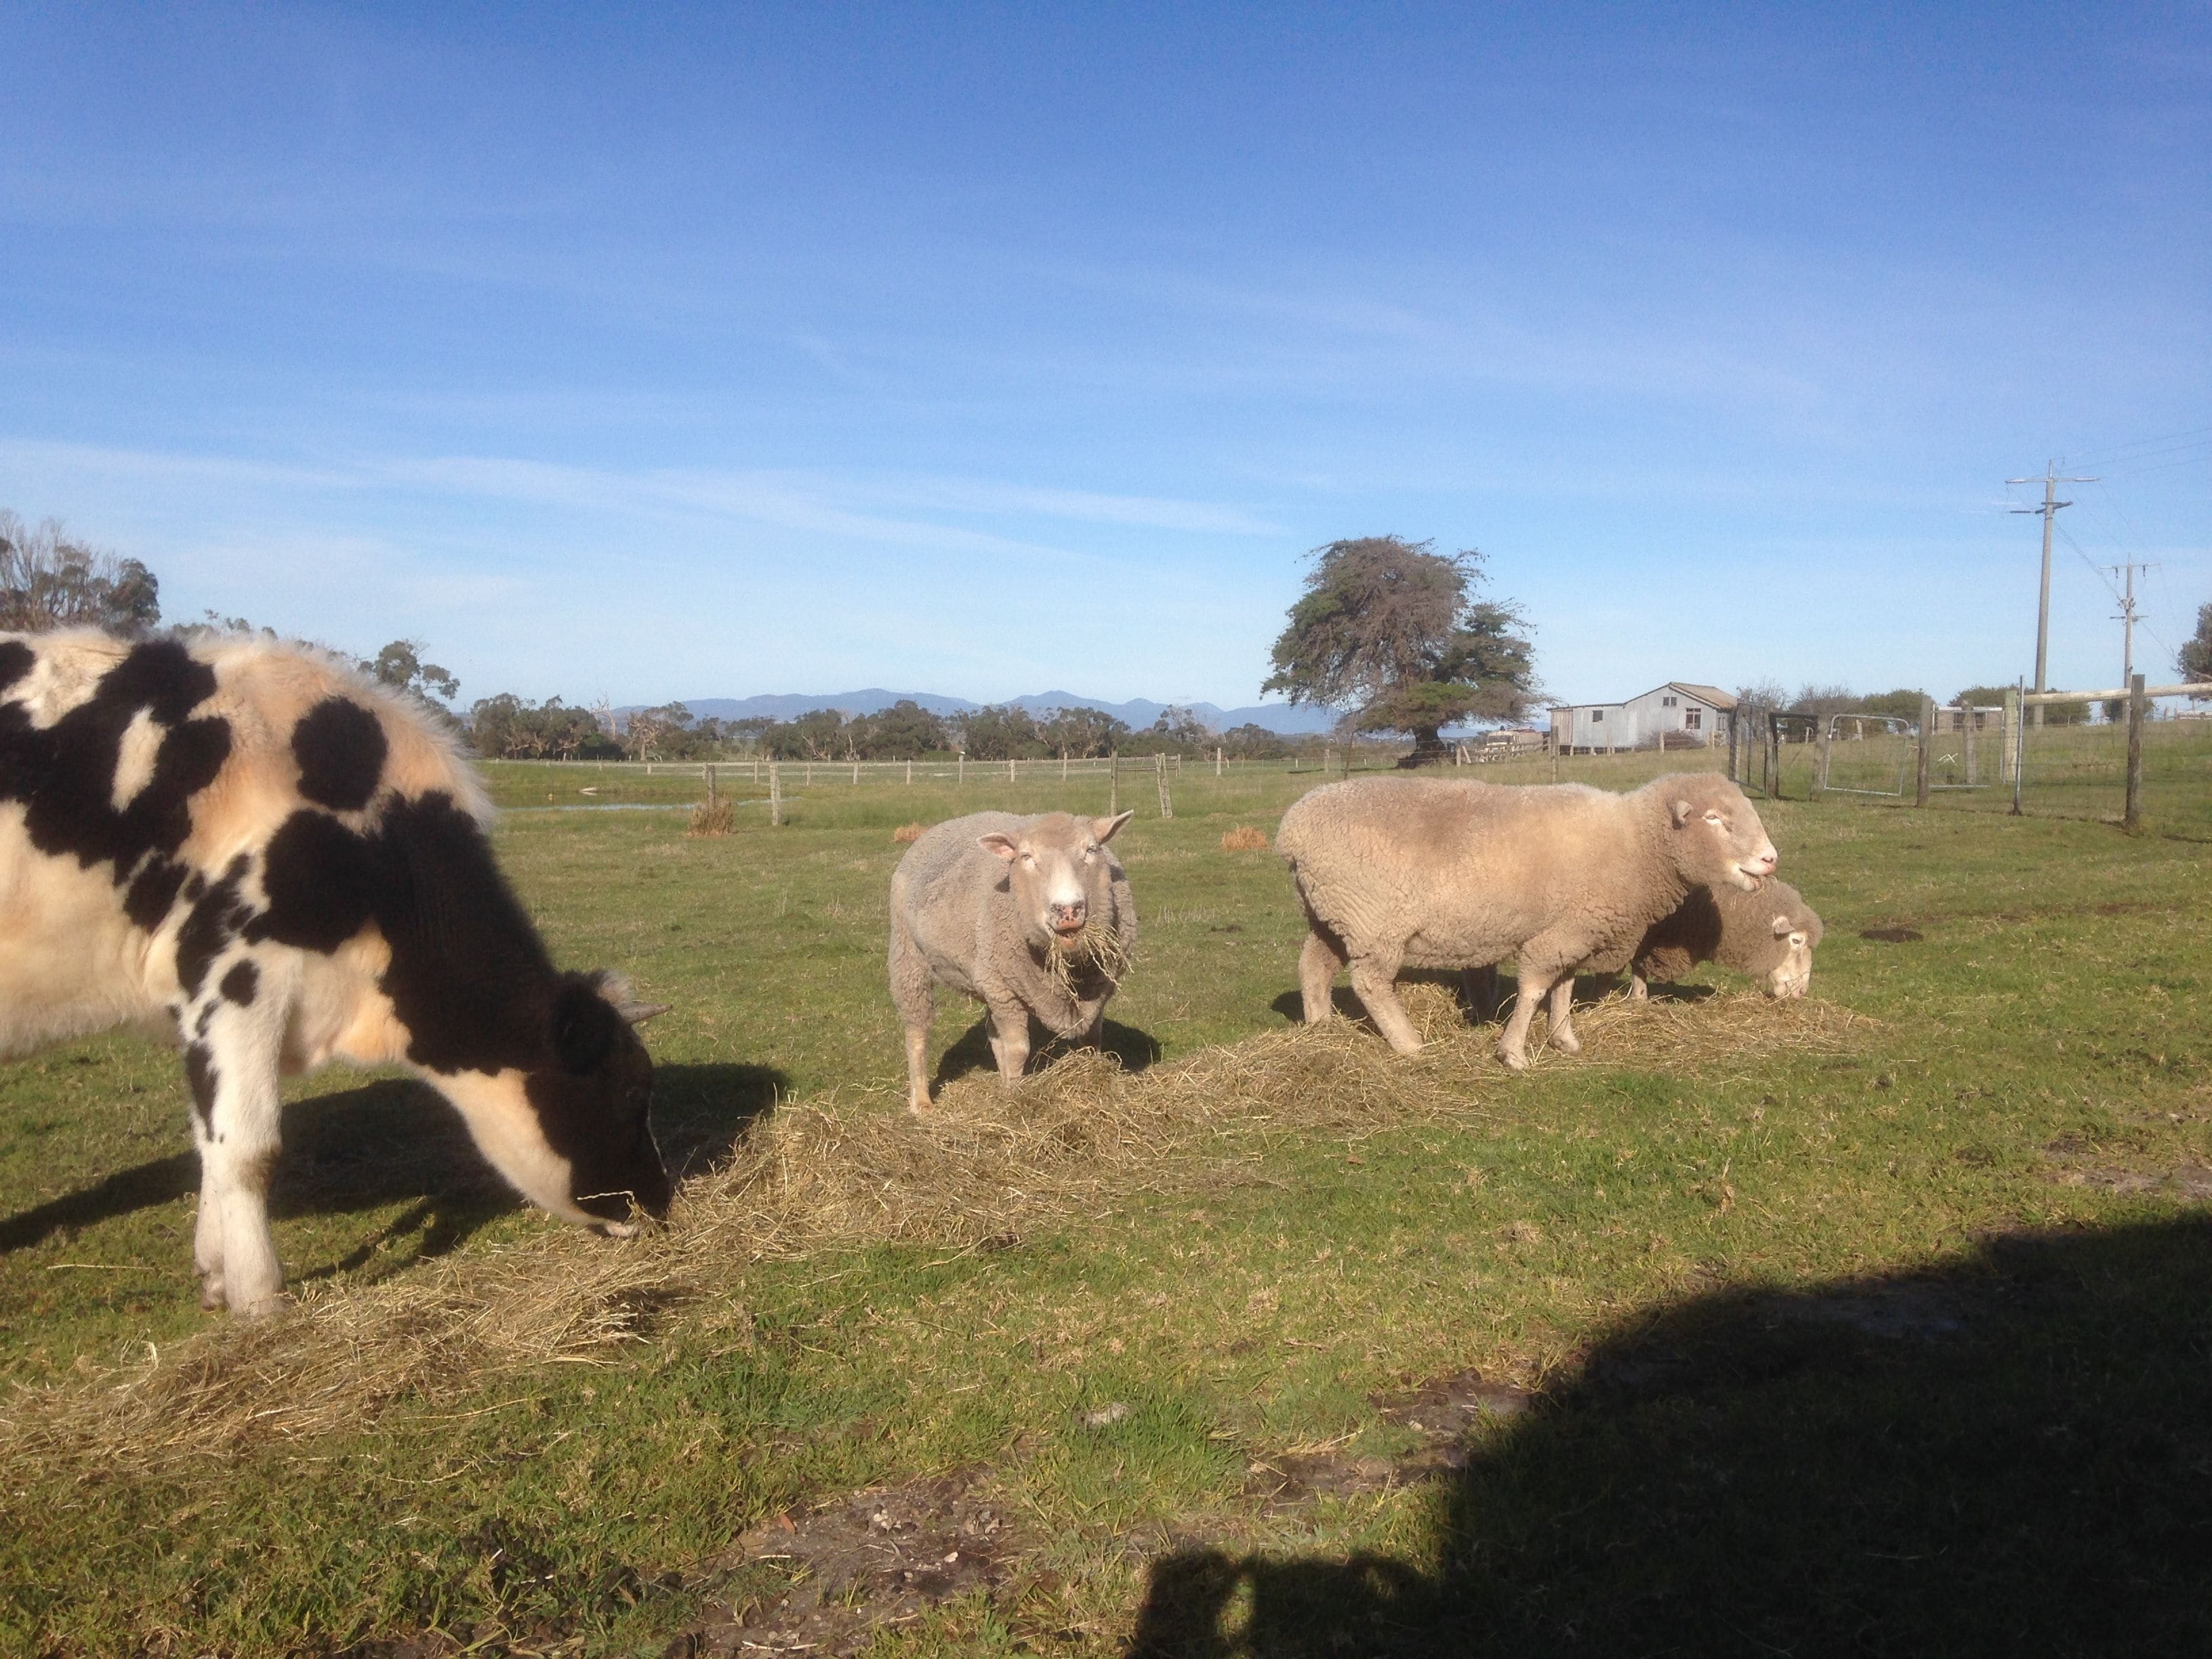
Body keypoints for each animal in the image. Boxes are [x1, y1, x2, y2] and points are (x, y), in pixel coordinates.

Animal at [0, 629, 672, 1315]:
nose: (659, 1202)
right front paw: (260, 1300)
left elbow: (212, 1144)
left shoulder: (201, 1012)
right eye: (633, 1092)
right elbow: (248, 1149)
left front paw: (216, 1275)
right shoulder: (237, 976)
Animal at [889, 810, 1136, 1110]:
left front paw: (1091, 1080)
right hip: (908, 955)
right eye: (1026, 856)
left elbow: (1092, 1038)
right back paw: (922, 1103)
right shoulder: (1006, 993)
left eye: (1091, 850)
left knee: (992, 1030)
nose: (1068, 910)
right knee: (917, 1030)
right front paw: (1016, 1098)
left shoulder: (1100, 988)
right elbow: (1018, 1050)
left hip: (987, 975)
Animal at [1277, 772, 1778, 1070]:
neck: (1634, 843)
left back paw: (1320, 1029)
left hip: (1333, 913)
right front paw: (1513, 1052)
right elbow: (1535, 988)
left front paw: (1563, 1039)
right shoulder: (1557, 934)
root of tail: (1292, 831)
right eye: (1714, 819)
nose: (1770, 859)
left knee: (1314, 967)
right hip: (1373, 920)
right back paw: (1409, 1044)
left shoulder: (1573, 928)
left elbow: (1564, 988)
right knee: (1371, 982)